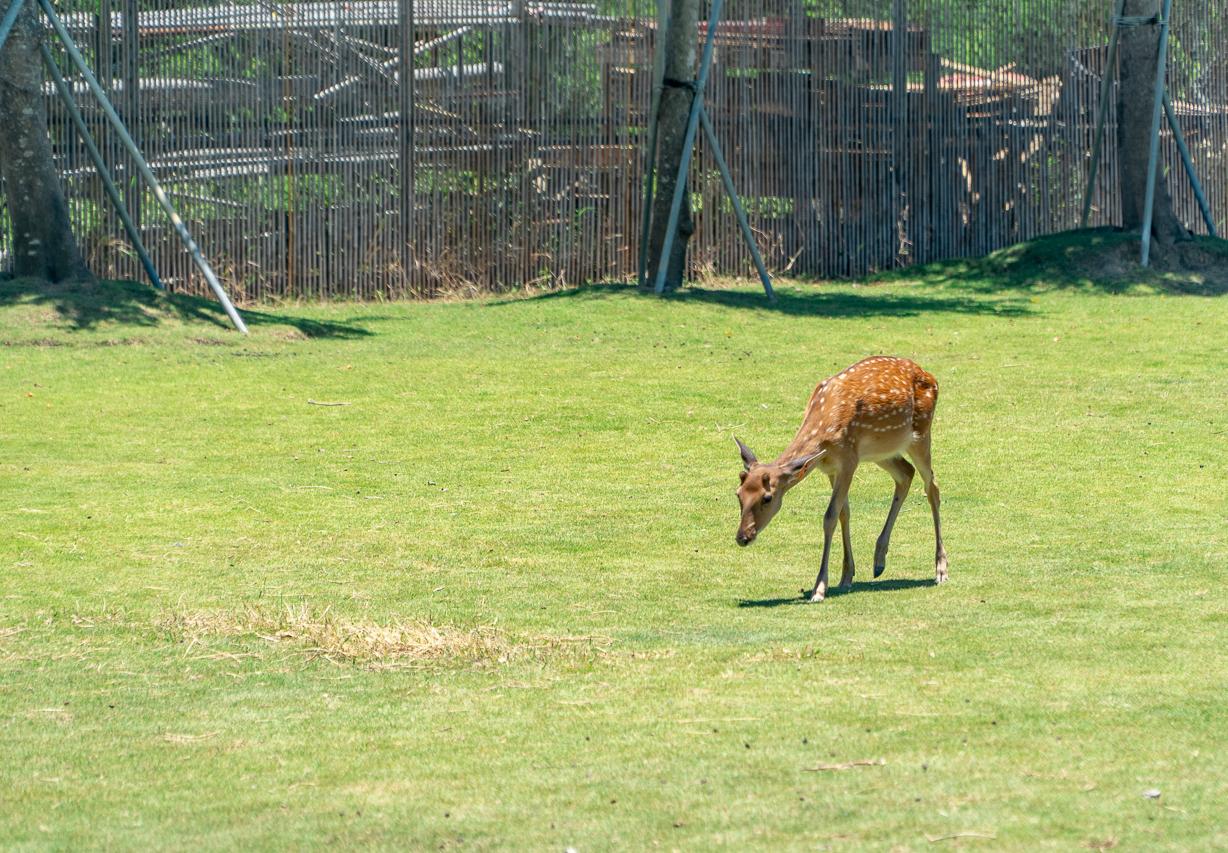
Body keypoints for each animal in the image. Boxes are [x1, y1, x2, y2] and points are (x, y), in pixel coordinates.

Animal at [731, 355, 943, 603]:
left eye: (767, 498)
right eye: (738, 494)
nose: (743, 537)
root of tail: (930, 375)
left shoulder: (848, 460)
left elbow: (830, 516)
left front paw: (819, 588)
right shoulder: (831, 468)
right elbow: (844, 513)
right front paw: (846, 576)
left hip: (921, 434)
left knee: (932, 487)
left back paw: (941, 569)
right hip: (881, 452)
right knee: (906, 473)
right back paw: (879, 561)